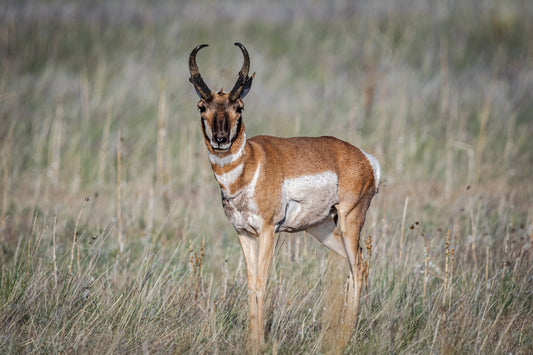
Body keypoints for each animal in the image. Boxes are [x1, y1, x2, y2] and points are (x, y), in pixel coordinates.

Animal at [189, 43, 380, 346]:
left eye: (239, 107)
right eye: (202, 107)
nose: (221, 140)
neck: (252, 162)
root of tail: (365, 159)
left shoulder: (268, 231)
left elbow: (261, 283)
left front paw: (258, 343)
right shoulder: (243, 233)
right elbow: (250, 284)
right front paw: (251, 341)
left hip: (350, 222)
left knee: (359, 267)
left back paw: (346, 336)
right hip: (323, 229)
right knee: (354, 267)